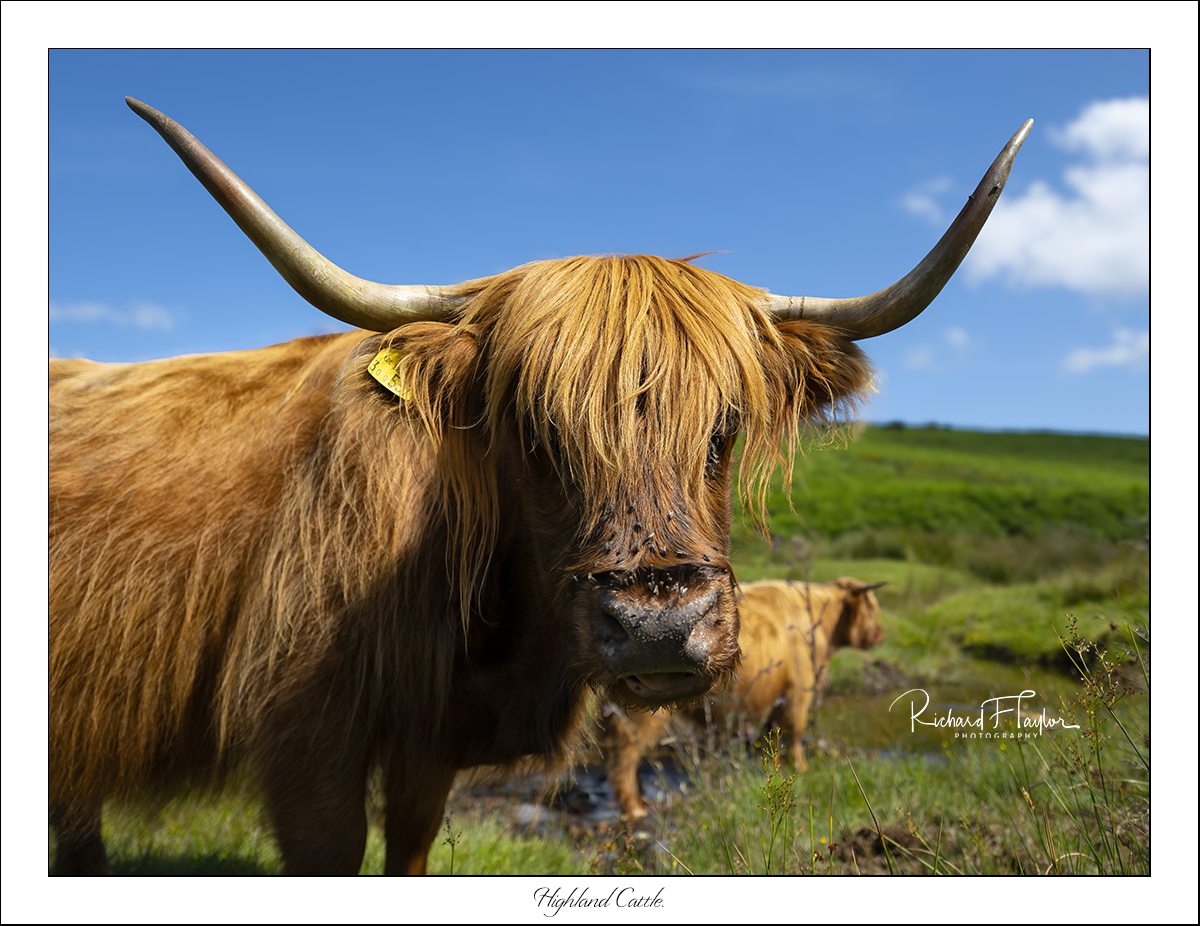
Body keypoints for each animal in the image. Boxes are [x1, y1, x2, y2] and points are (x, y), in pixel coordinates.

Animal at [603, 577, 886, 819]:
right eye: (871, 609)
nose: (879, 634)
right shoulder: (797, 694)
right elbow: (795, 734)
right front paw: (802, 769)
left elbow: (778, 741)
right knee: (625, 755)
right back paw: (634, 808)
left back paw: (642, 800)